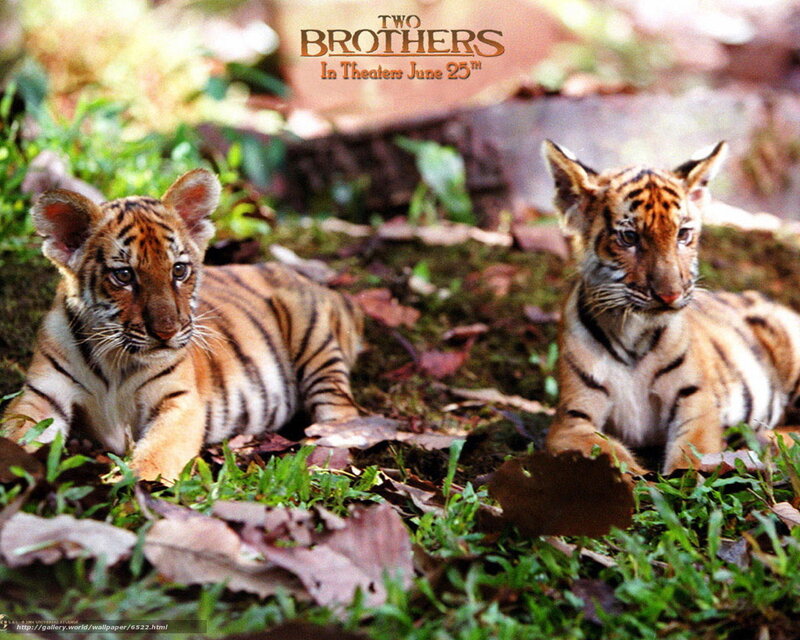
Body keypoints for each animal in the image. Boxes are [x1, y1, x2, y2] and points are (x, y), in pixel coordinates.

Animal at [1, 169, 363, 480]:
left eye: (178, 270)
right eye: (124, 275)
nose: (167, 332)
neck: (114, 362)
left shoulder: (180, 400)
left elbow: (155, 457)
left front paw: (129, 488)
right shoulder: (42, 396)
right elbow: (15, 433)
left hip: (314, 344)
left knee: (344, 414)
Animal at [541, 139, 800, 474]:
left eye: (683, 234)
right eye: (629, 237)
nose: (669, 294)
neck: (631, 332)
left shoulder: (696, 401)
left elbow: (691, 454)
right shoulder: (571, 419)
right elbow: (609, 454)